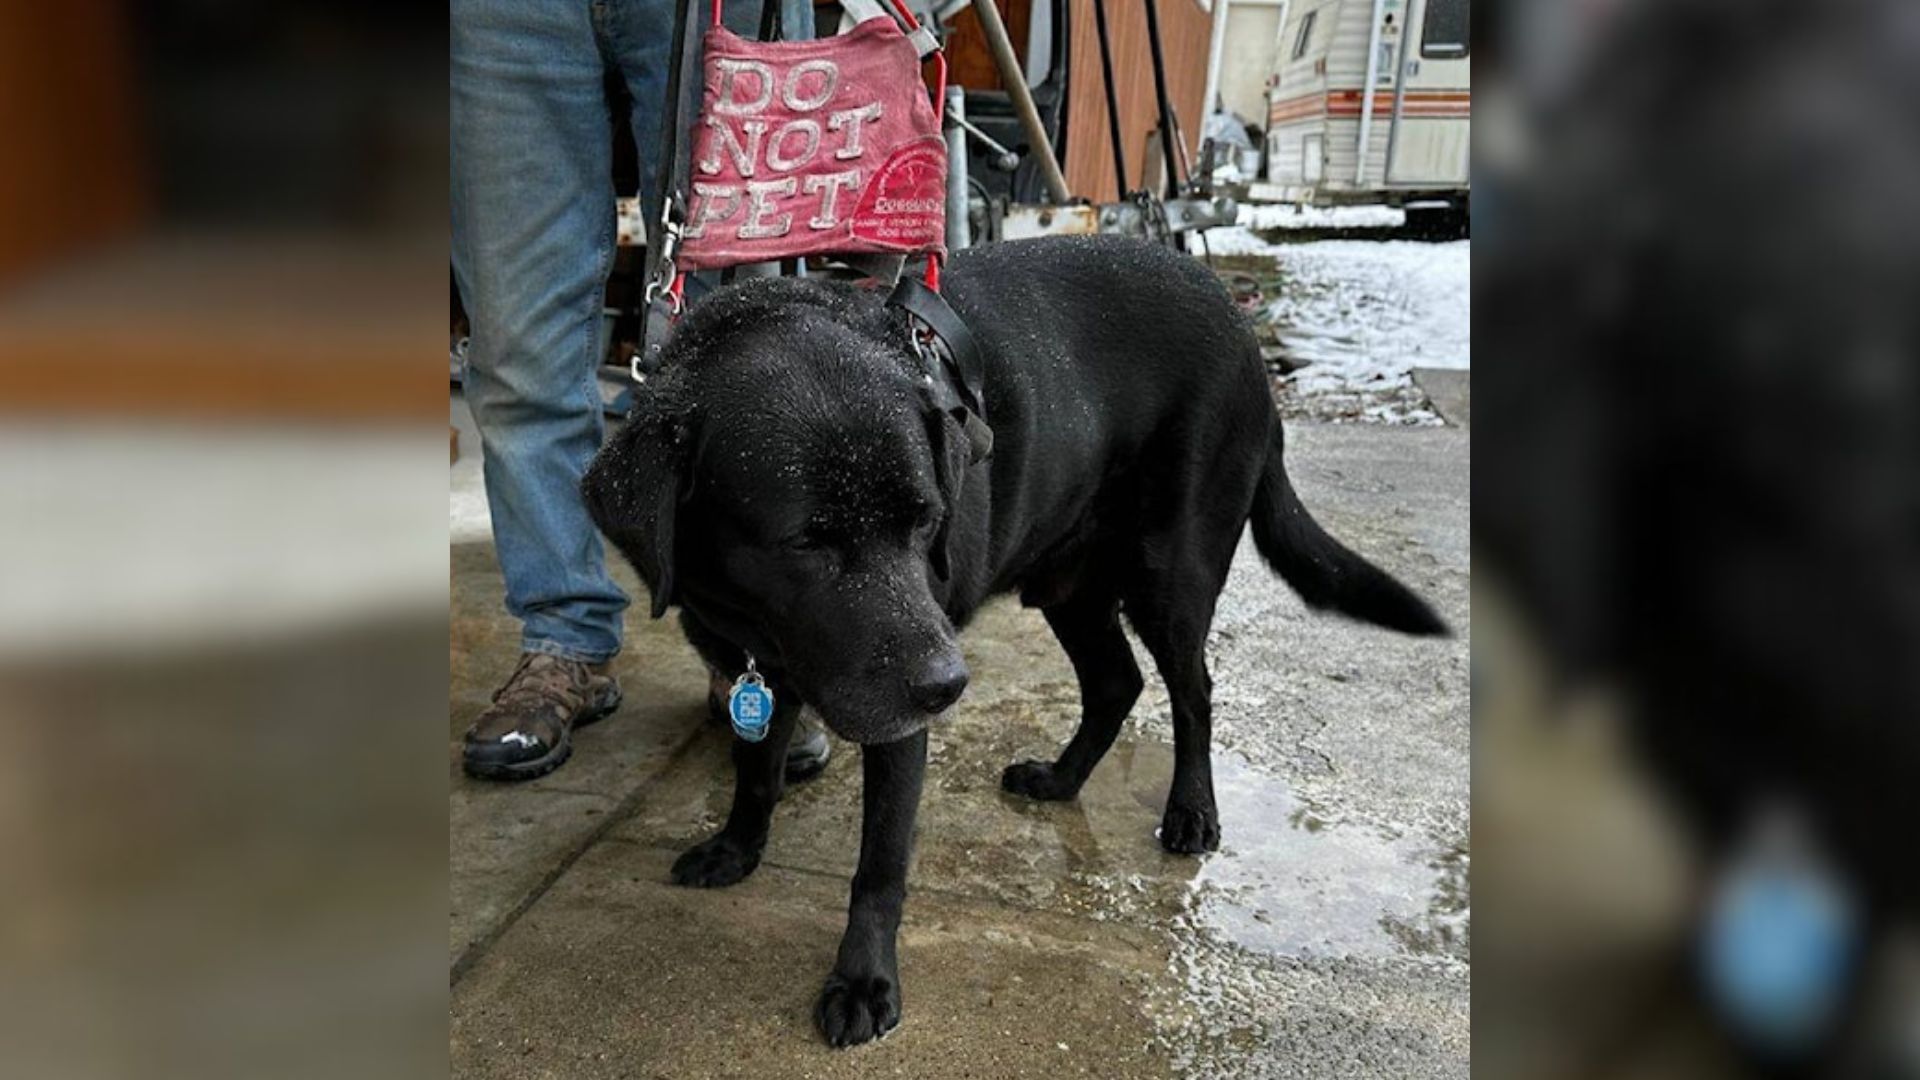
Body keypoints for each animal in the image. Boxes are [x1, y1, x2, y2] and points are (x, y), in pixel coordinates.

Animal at [579, 233, 1443, 1045]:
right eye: (805, 542)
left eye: (926, 519)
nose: (947, 685)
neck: (755, 621)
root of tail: (1238, 320)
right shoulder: (762, 669)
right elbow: (754, 769)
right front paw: (736, 847)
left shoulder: (896, 715)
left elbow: (879, 864)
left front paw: (864, 983)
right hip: (1070, 585)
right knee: (1116, 683)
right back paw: (1061, 780)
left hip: (1173, 573)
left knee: (1193, 691)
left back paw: (1192, 812)